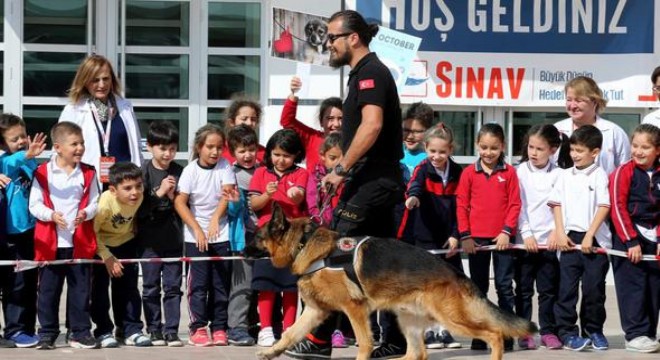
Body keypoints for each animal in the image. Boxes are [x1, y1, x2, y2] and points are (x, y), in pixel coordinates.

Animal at [255, 204, 540, 358]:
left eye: (257, 238)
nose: (245, 251)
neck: (304, 245)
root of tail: (456, 273)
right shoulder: (316, 311)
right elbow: (290, 333)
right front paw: (272, 352)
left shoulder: (355, 309)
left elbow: (365, 342)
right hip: (407, 318)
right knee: (417, 353)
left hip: (450, 317)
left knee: (494, 334)